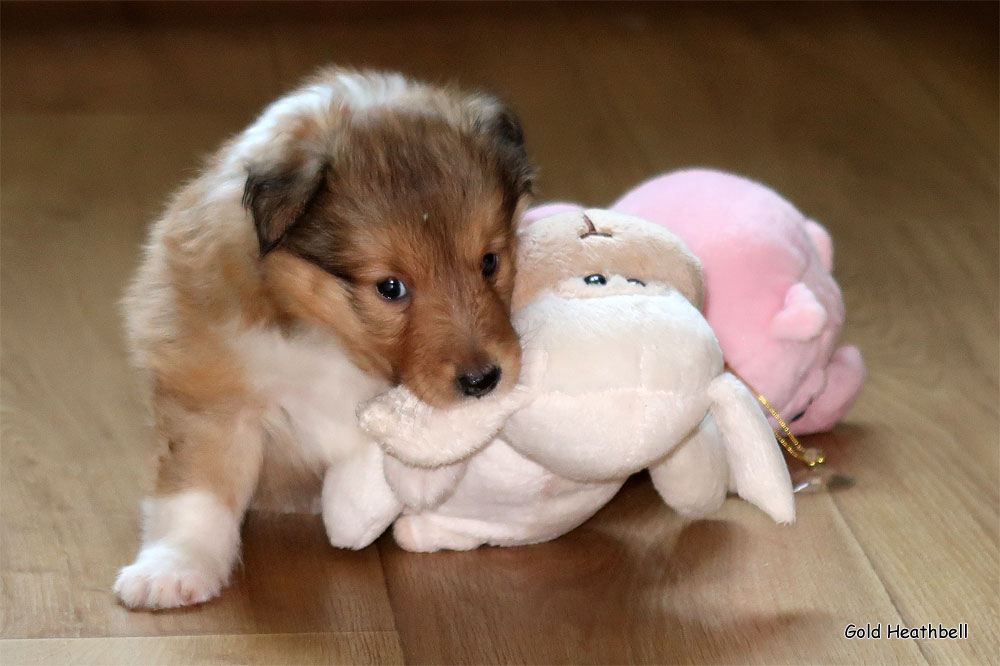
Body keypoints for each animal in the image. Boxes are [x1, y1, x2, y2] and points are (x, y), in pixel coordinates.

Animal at [112, 67, 532, 608]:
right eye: (390, 287)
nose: (483, 381)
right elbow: (199, 489)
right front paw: (172, 569)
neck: (327, 336)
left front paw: (422, 469)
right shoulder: (213, 393)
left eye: (489, 261)